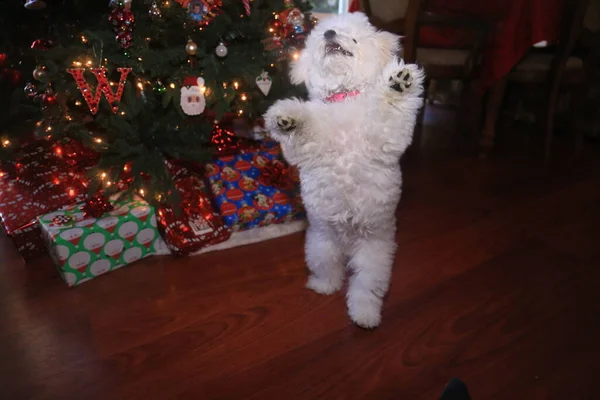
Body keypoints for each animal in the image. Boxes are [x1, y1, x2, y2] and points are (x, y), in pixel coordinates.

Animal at [264, 12, 424, 328]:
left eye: (353, 38)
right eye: (325, 33)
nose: (330, 34)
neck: (344, 98)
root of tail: (349, 246)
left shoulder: (385, 137)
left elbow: (391, 109)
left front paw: (399, 83)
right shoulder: (307, 149)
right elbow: (301, 130)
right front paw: (286, 118)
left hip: (375, 258)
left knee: (365, 288)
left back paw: (365, 314)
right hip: (320, 247)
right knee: (331, 272)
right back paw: (322, 286)